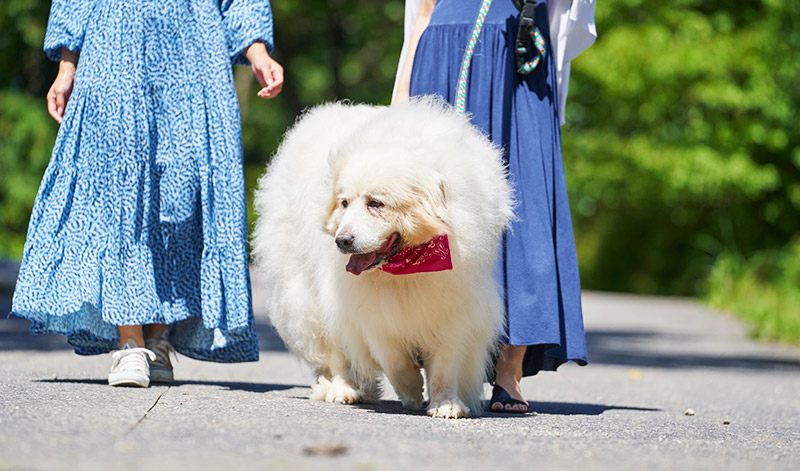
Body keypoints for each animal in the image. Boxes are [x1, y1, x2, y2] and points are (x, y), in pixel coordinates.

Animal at [255, 97, 512, 418]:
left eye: (375, 203)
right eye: (344, 203)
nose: (342, 241)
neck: (407, 265)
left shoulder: (455, 309)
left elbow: (445, 364)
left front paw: (446, 404)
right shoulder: (369, 311)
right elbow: (393, 358)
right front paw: (411, 391)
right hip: (310, 301)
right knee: (337, 355)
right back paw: (343, 390)